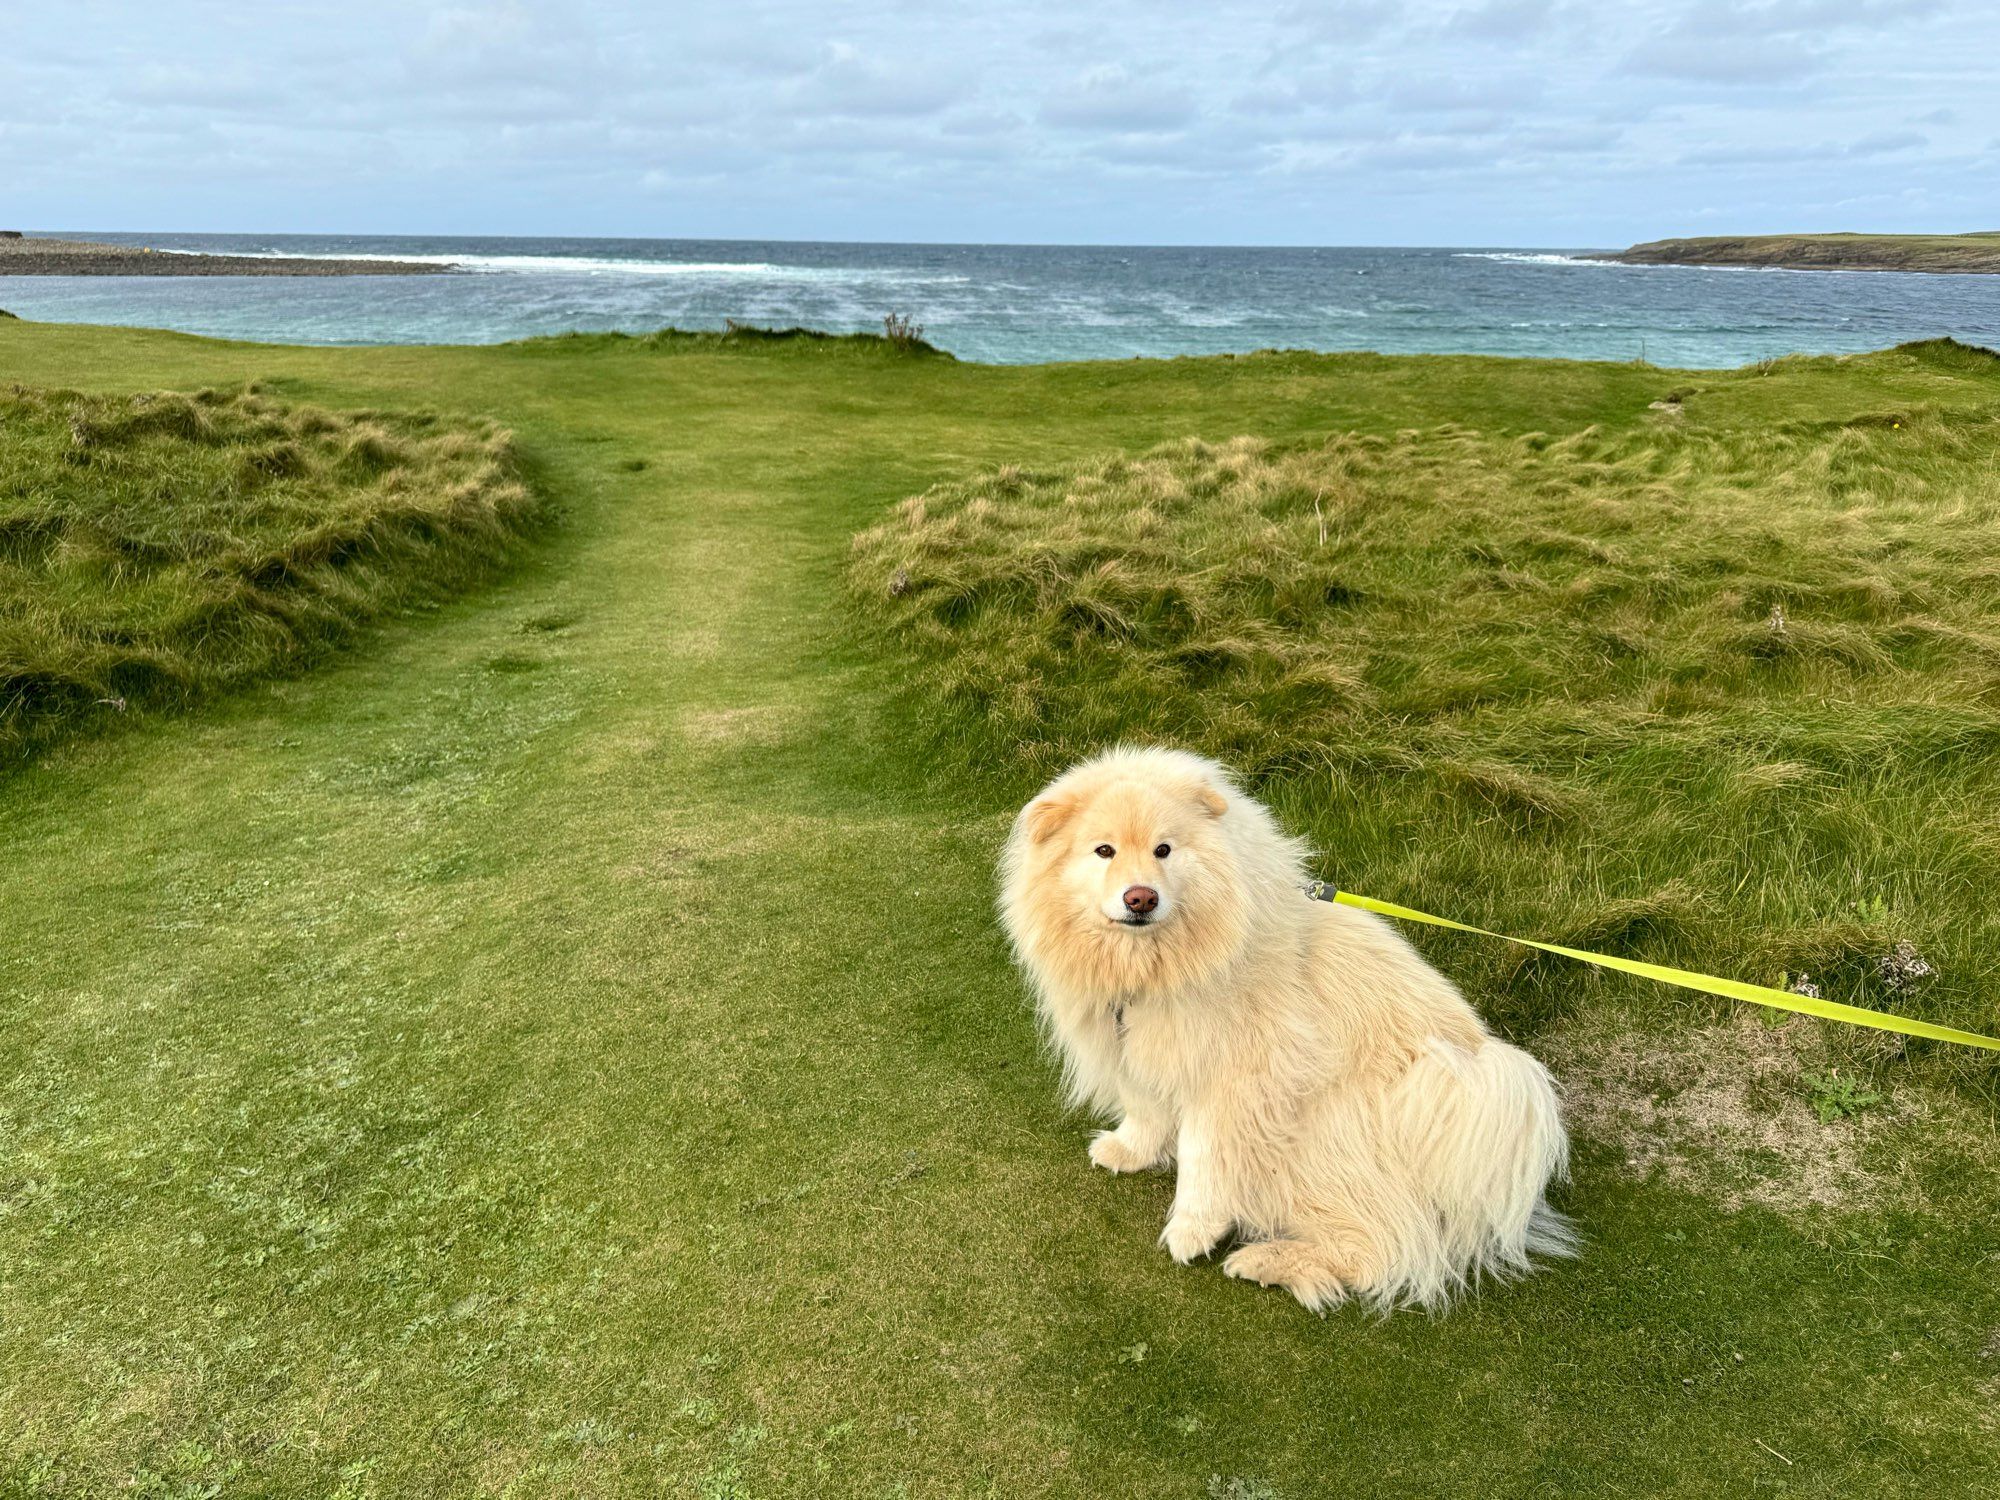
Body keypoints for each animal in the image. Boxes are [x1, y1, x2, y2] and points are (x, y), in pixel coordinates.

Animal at [1000, 748, 1576, 1312]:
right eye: (1104, 851)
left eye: (1164, 849)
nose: (1140, 897)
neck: (1154, 967)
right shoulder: (1140, 1048)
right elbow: (1145, 1110)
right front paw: (1130, 1152)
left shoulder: (1234, 1080)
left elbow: (1203, 1161)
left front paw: (1191, 1231)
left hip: (1335, 1133)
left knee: (1386, 1248)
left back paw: (1270, 1261)